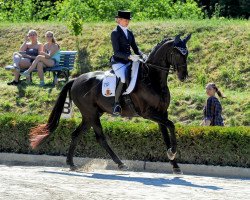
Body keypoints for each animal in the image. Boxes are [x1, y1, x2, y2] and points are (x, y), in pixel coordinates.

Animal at [30, 34, 192, 173]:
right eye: (177, 54)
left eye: (187, 54)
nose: (183, 76)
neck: (152, 78)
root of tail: (75, 80)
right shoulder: (148, 113)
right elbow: (171, 125)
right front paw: (172, 152)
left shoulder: (161, 113)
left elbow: (166, 135)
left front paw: (175, 164)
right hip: (92, 114)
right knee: (101, 138)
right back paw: (120, 164)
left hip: (90, 115)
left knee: (76, 134)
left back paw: (71, 164)